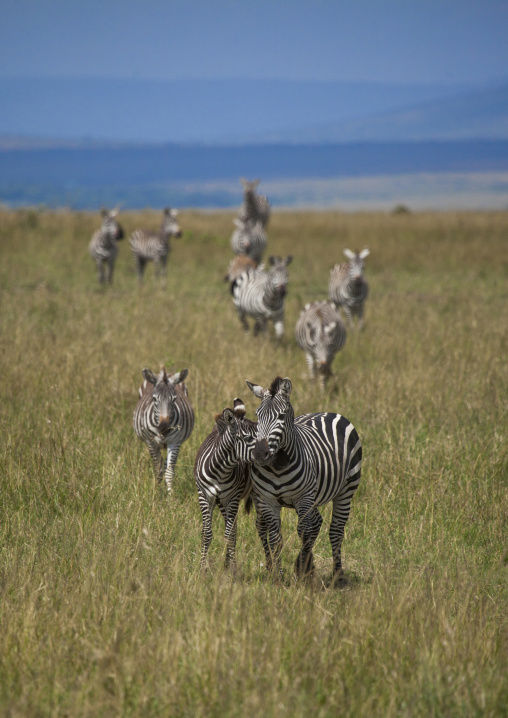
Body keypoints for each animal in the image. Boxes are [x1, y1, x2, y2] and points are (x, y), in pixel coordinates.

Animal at [194, 398, 257, 571]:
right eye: (248, 439)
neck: (220, 471)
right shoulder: (204, 496)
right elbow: (206, 533)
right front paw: (202, 569)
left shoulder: (233, 498)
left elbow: (229, 536)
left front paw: (233, 570)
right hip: (220, 501)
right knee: (231, 527)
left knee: (234, 530)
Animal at [245, 376, 362, 583]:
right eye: (258, 416)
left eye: (281, 416)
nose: (259, 454)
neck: (279, 466)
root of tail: (327, 412)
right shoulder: (268, 501)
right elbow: (276, 538)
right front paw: (279, 576)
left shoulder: (304, 498)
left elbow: (304, 532)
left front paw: (301, 569)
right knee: (317, 523)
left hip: (346, 490)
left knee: (336, 530)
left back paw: (338, 574)